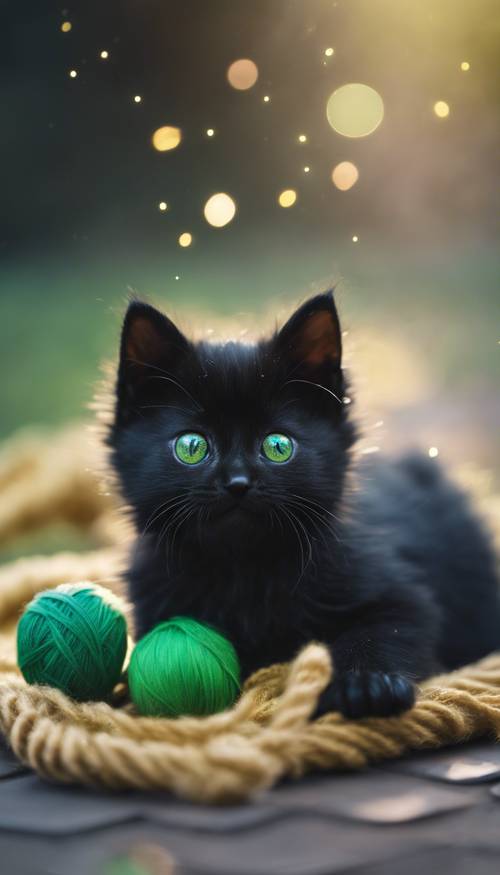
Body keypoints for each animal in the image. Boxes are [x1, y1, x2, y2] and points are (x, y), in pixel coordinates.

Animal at [108, 294, 500, 720]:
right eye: (191, 447)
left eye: (277, 446)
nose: (238, 483)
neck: (244, 569)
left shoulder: (400, 592)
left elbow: (385, 628)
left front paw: (367, 684)